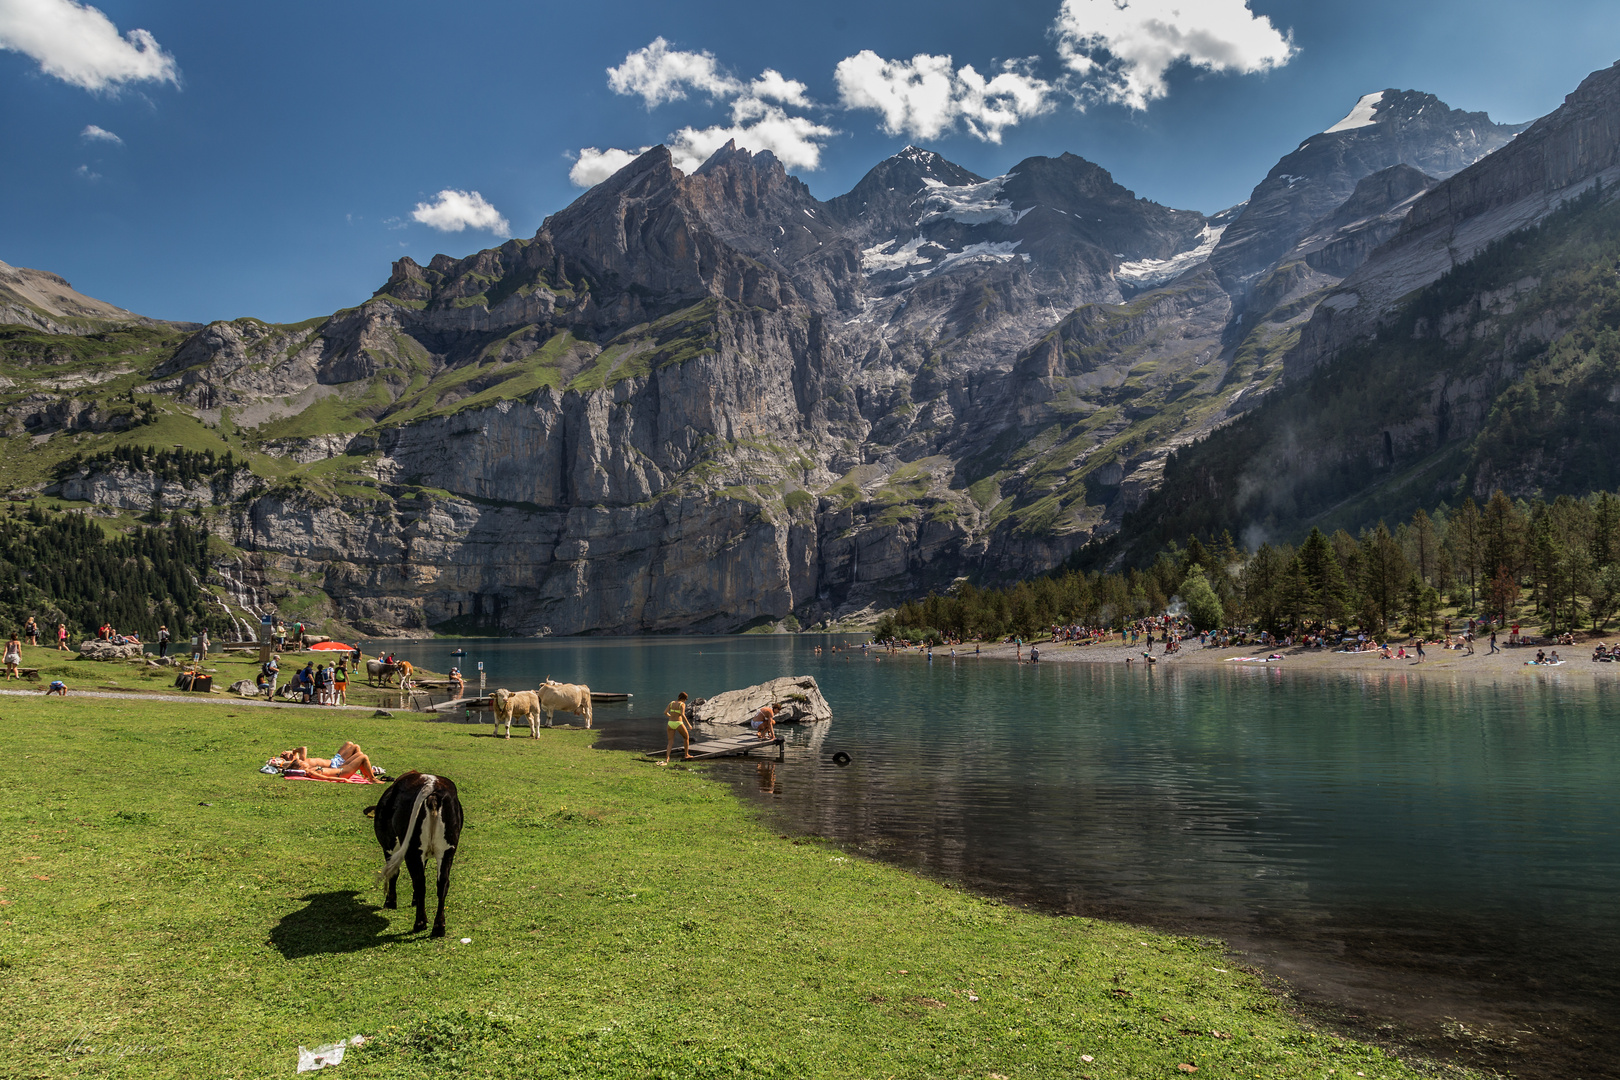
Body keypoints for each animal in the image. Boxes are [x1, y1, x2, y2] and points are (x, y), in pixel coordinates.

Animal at [366, 767, 463, 939]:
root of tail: (432, 786)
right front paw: (414, 900)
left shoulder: (389, 846)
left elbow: (394, 874)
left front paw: (390, 902)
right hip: (447, 850)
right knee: (442, 884)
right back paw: (439, 927)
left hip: (411, 849)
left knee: (420, 882)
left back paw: (420, 923)